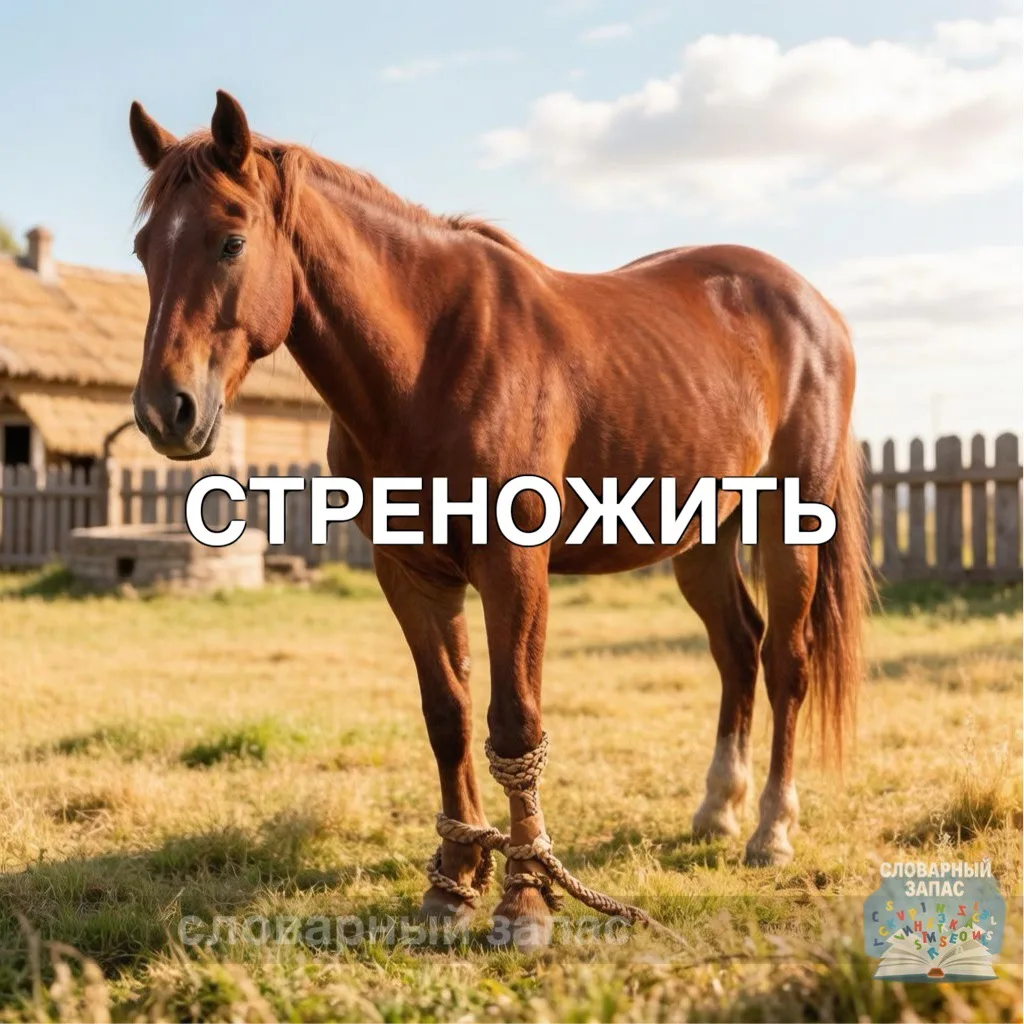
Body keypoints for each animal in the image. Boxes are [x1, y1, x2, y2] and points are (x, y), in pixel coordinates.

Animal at [127, 91, 870, 950]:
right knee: (738, 649)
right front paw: (454, 883)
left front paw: (524, 900)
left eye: (231, 239)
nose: (165, 411)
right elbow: (448, 718)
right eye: (144, 248)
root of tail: (813, 308)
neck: (431, 358)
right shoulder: (410, 573)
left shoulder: (513, 567)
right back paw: (717, 809)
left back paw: (771, 830)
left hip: (790, 521)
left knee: (786, 660)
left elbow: (515, 724)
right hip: (702, 535)